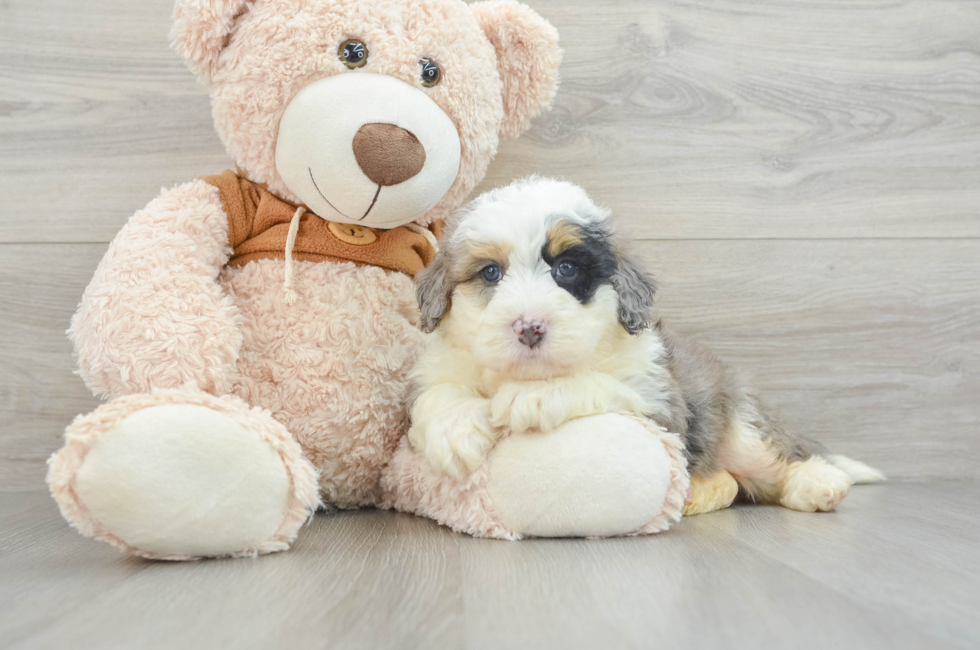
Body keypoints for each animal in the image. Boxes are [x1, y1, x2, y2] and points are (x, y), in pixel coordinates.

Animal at [410, 176, 884, 512]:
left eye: (567, 269)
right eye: (490, 272)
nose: (529, 328)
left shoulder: (660, 403)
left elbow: (600, 384)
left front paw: (537, 395)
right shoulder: (438, 368)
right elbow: (439, 393)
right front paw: (455, 431)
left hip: (741, 431)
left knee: (777, 460)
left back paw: (819, 483)